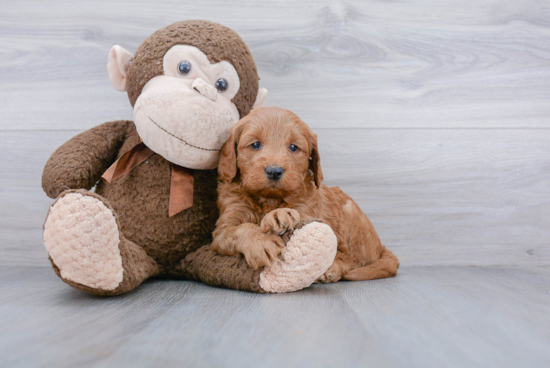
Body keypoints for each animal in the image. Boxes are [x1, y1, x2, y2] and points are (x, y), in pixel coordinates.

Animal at [212, 106, 402, 282]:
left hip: (352, 219)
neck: (268, 199)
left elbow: (297, 215)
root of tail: (381, 247)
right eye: (255, 144)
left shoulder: (308, 211)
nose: (274, 171)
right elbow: (237, 230)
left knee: (352, 259)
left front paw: (279, 215)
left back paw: (332, 269)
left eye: (293, 147)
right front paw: (260, 242)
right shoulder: (224, 228)